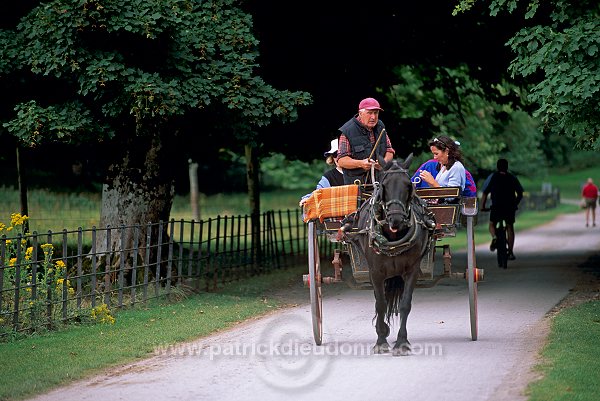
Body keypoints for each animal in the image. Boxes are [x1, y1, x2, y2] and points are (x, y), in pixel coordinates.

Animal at [344, 154, 434, 356]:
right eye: (384, 186)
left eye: (408, 185)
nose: (396, 219)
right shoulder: (376, 272)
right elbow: (381, 304)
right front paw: (381, 340)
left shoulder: (412, 270)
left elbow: (405, 304)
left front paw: (401, 342)